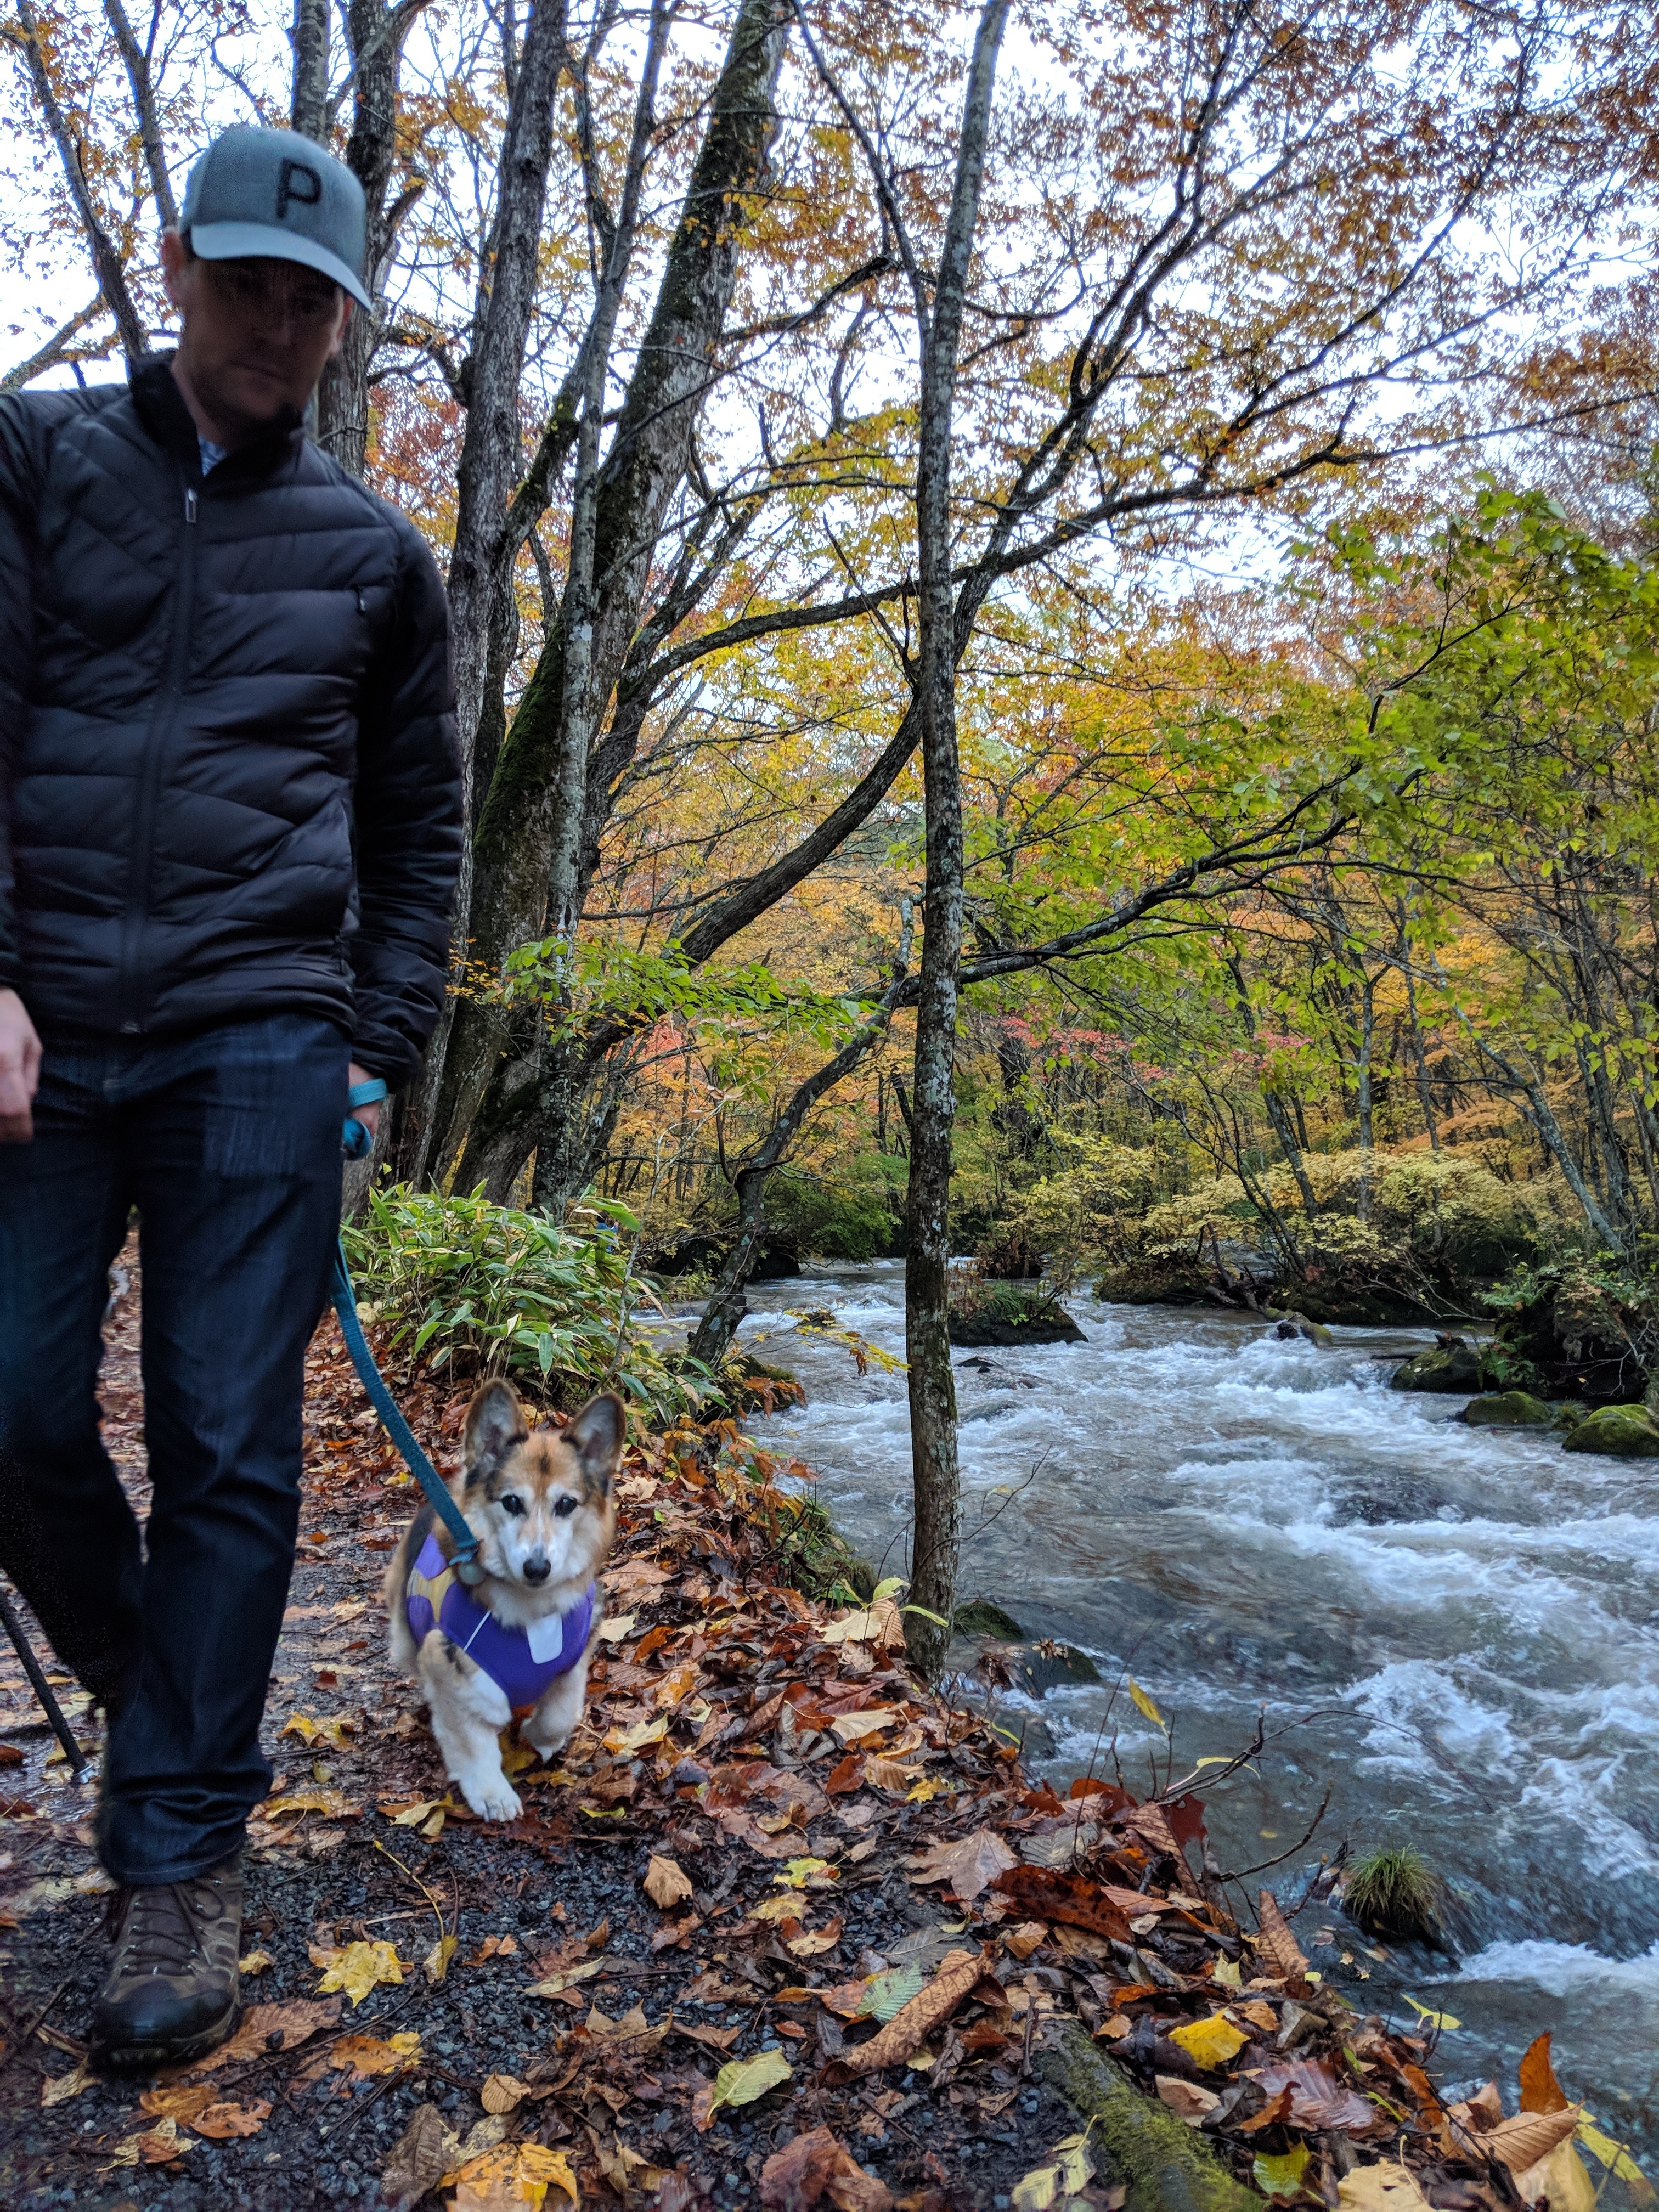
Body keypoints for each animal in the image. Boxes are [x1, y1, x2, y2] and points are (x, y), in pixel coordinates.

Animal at [382, 1371, 624, 1822]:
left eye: (567, 1504)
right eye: (512, 1502)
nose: (537, 1568)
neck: (533, 1614)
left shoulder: (575, 1660)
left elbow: (560, 1713)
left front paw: (541, 1738)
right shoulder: (447, 1658)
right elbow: (473, 1732)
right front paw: (492, 1792)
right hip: (406, 1636)